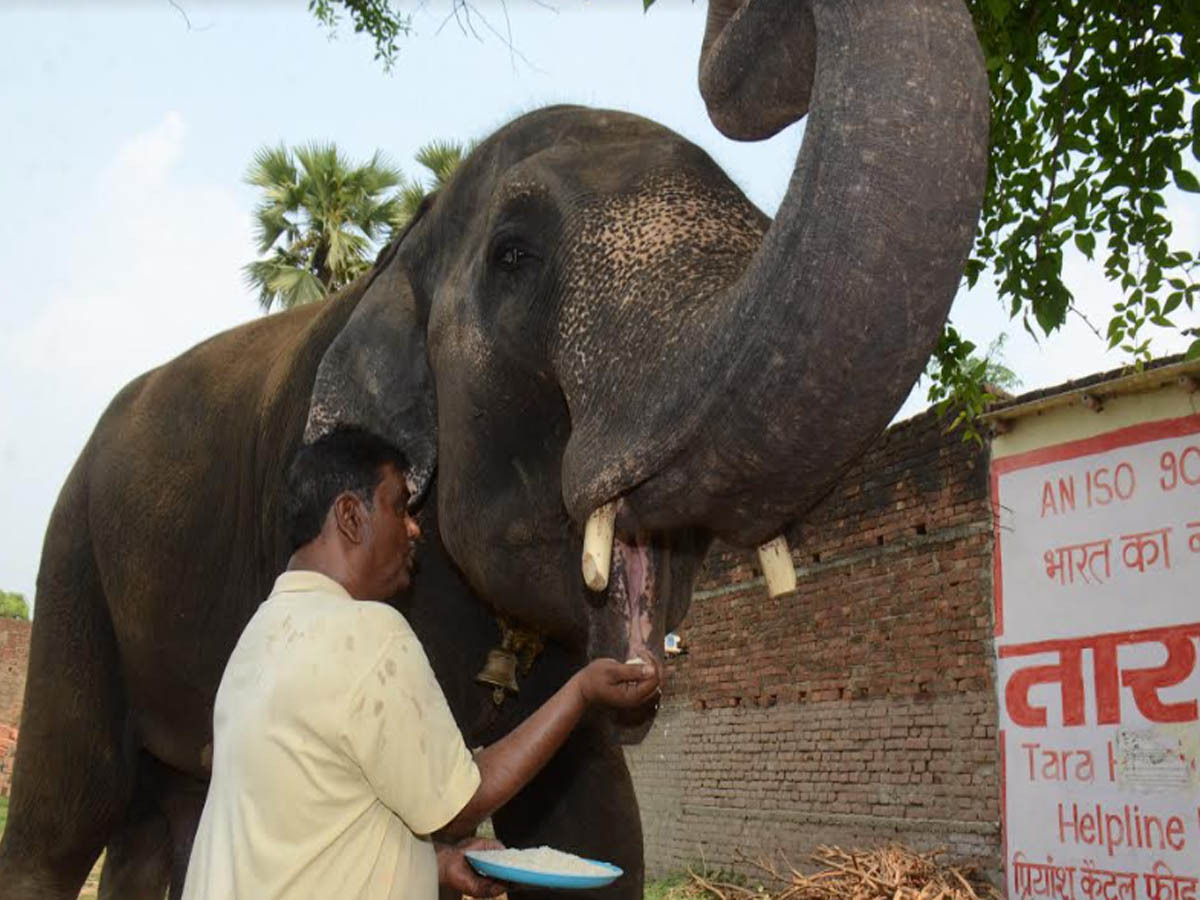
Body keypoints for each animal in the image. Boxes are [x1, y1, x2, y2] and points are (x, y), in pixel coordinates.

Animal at [0, 0, 988, 898]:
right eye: (512, 256)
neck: (402, 249)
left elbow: (601, 821)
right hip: (72, 564)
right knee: (63, 814)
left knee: (163, 816)